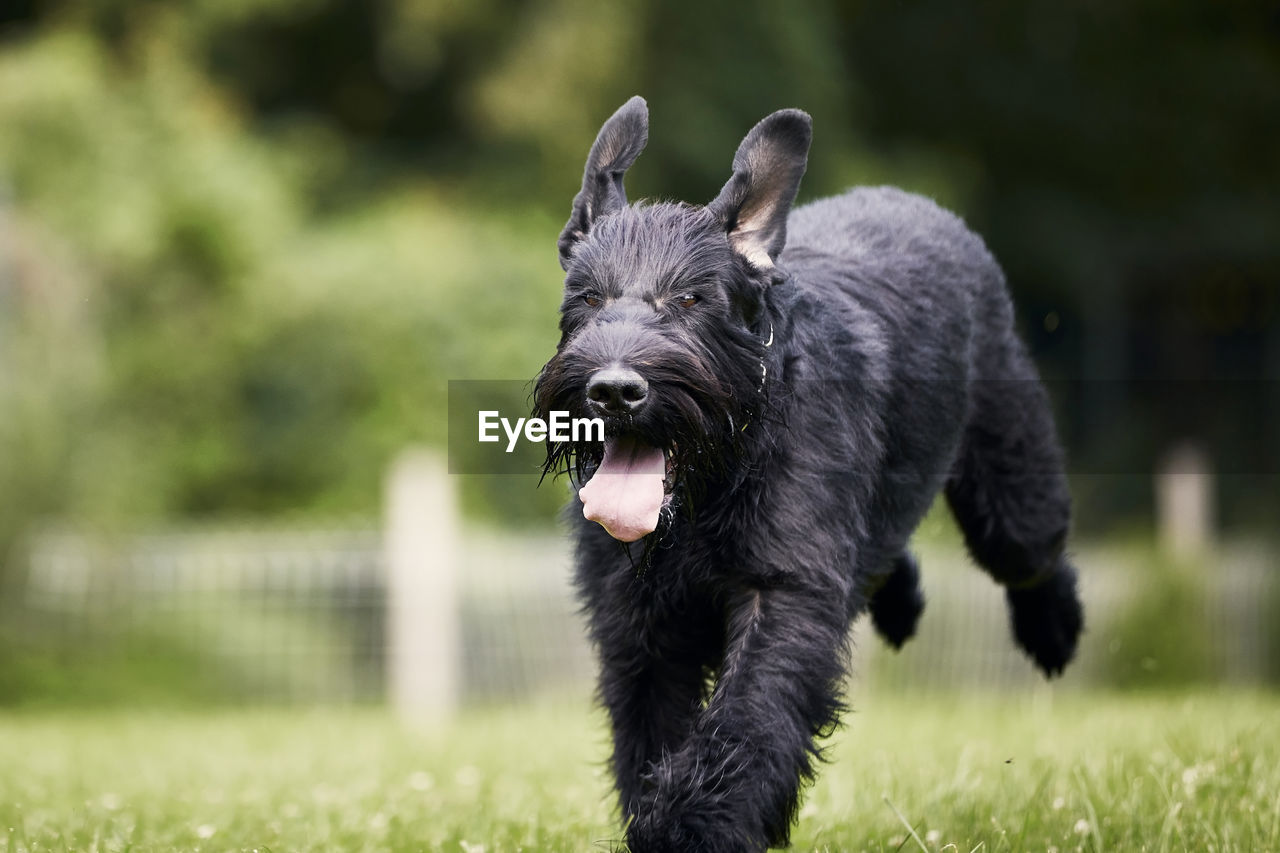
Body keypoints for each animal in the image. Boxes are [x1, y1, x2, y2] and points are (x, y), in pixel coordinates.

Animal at [529, 97, 1080, 850]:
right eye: (586, 297)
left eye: (693, 299)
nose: (613, 389)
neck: (713, 487)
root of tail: (919, 203)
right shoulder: (638, 625)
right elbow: (650, 737)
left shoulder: (782, 594)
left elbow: (747, 720)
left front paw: (696, 824)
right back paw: (903, 600)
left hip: (1010, 492)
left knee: (1035, 551)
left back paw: (1054, 628)